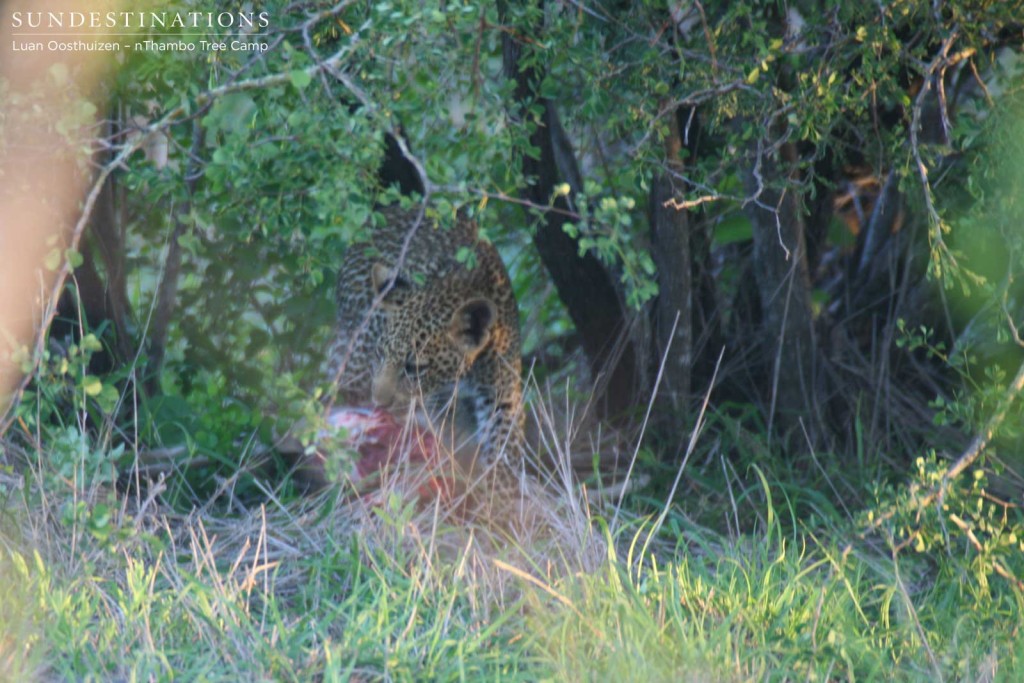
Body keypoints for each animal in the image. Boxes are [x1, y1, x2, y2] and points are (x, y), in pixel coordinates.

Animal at [329, 205, 528, 473]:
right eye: (381, 355)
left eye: (414, 368)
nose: (379, 404)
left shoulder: (502, 394)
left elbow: (504, 446)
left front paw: (501, 481)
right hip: (356, 356)